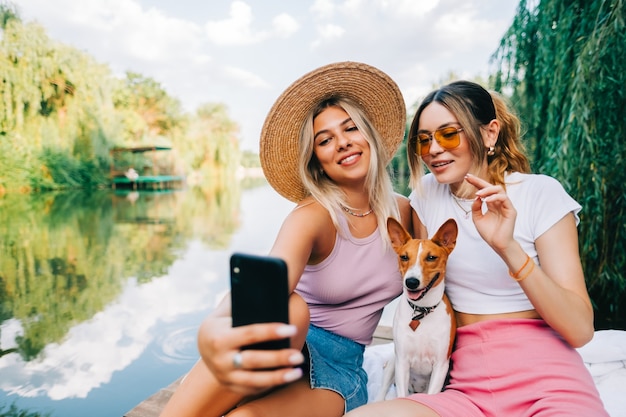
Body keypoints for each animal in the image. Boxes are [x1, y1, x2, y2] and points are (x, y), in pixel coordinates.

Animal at [376, 216, 458, 398]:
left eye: (431, 257)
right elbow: (400, 396)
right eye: (404, 257)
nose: (411, 282)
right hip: (393, 362)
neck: (422, 310)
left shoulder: (441, 365)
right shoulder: (402, 362)